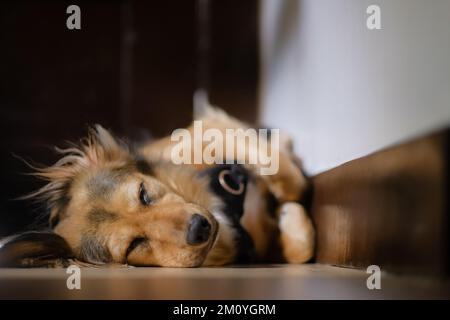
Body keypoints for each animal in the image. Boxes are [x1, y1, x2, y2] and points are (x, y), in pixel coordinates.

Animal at [0, 106, 314, 266]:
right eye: (135, 245)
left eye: (143, 193)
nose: (199, 228)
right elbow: (300, 249)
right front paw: (289, 219)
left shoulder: (211, 128)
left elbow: (290, 179)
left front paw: (289, 209)